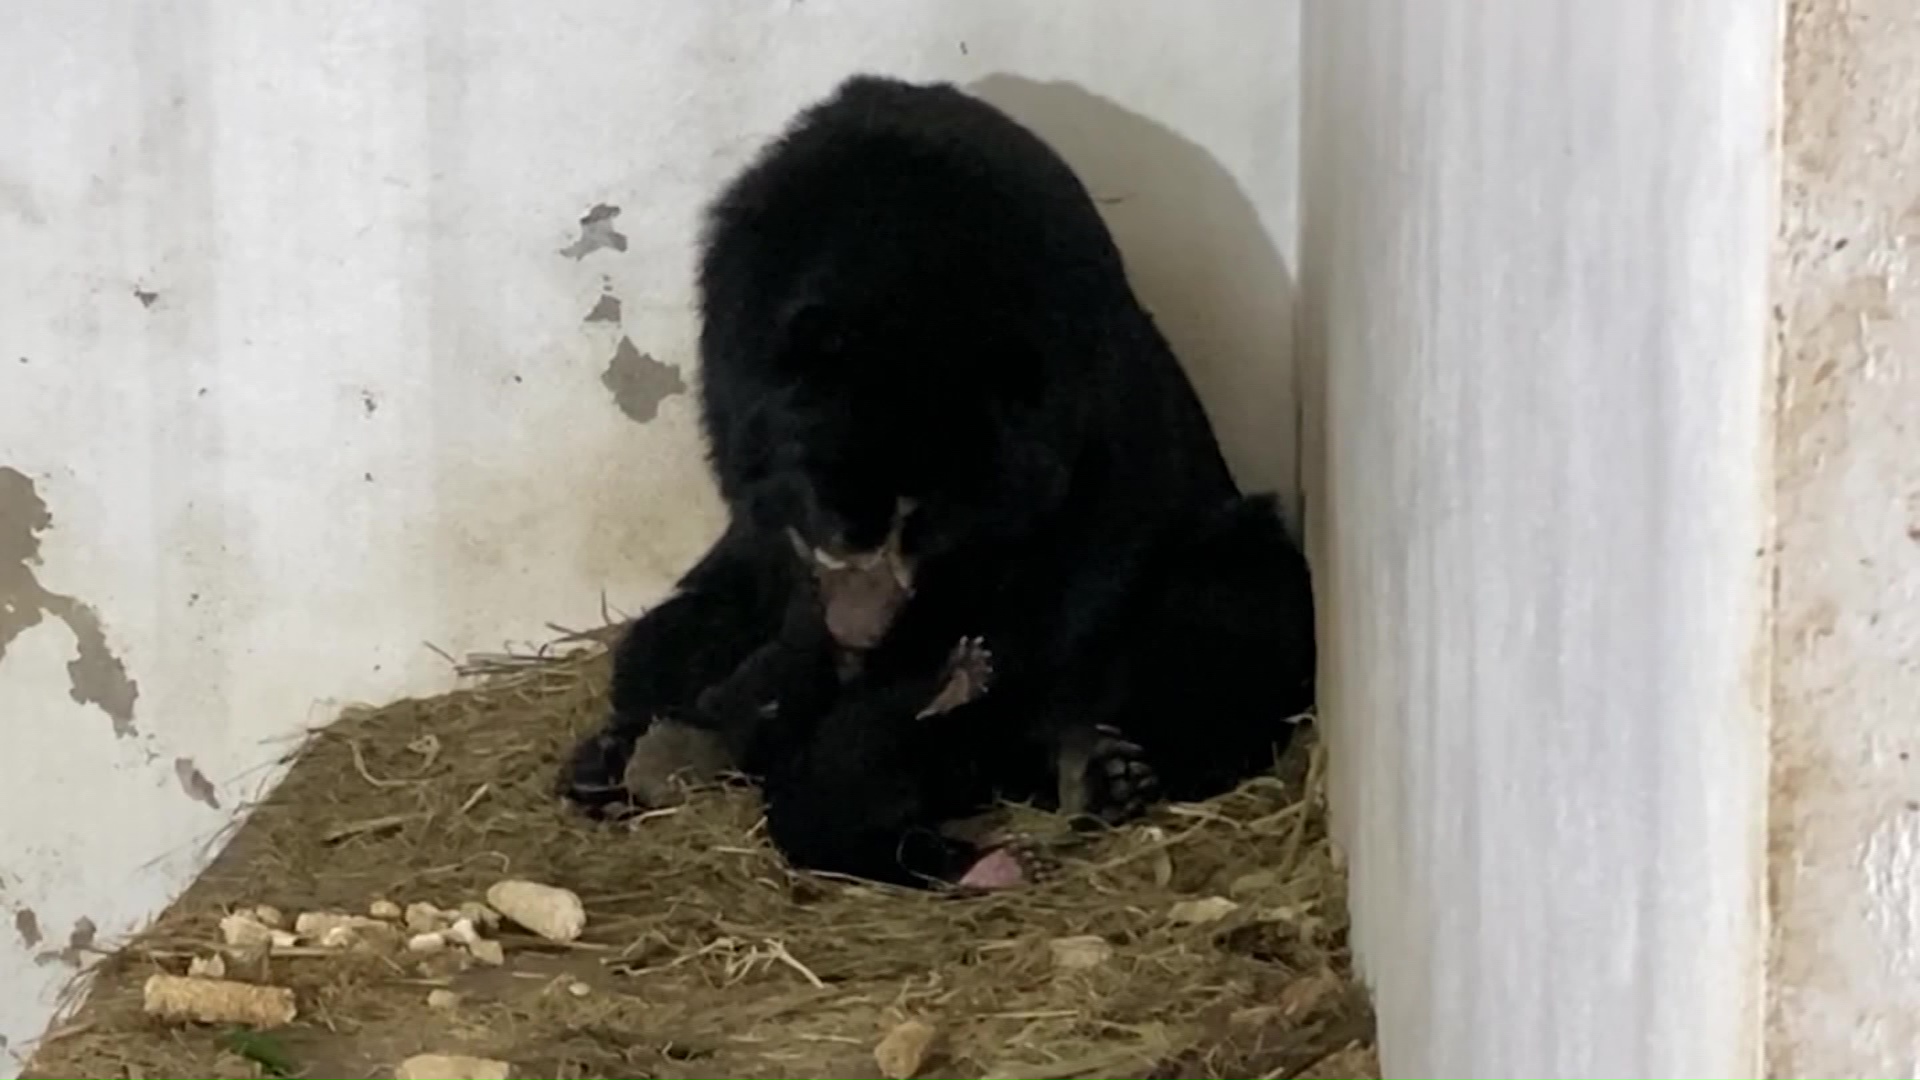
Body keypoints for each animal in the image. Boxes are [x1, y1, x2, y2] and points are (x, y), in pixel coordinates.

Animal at [560, 73, 1320, 883]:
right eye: (823, 514)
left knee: (1229, 615)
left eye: (920, 517)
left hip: (1216, 570)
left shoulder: (1077, 432)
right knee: (669, 639)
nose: (859, 626)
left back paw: (1096, 774)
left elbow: (1060, 584)